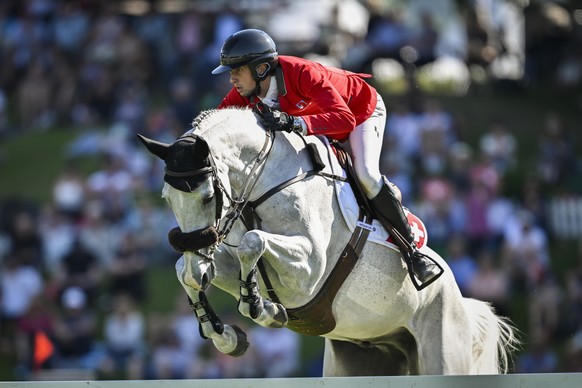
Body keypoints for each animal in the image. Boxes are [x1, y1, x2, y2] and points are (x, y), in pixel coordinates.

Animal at [138, 107, 520, 376]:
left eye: (206, 197)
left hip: (441, 343)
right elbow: (183, 269)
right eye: (167, 199)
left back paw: (422, 266)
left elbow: (253, 241)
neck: (267, 181)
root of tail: (461, 301)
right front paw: (225, 335)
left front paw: (261, 307)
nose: (200, 271)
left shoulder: (308, 271)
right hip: (361, 354)